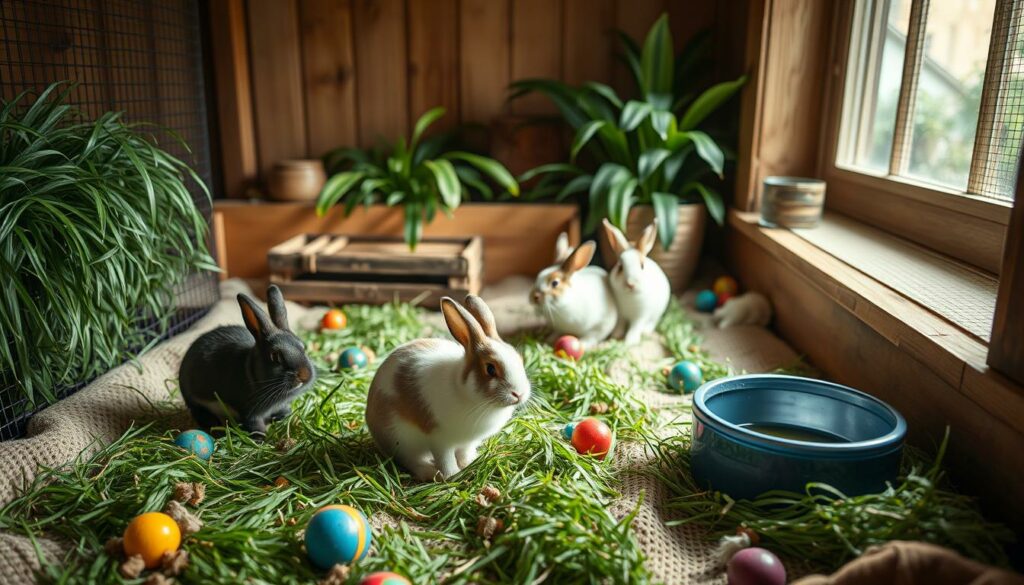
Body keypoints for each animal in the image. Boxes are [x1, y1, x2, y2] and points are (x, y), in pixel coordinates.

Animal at [178, 286, 315, 436]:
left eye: (303, 346)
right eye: (275, 356)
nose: (304, 375)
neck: (254, 375)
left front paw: (286, 415)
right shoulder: (250, 412)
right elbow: (254, 423)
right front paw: (261, 437)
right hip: (194, 400)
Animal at [366, 295, 528, 483]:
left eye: (519, 358)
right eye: (490, 369)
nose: (519, 394)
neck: (466, 394)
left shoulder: (468, 442)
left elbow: (465, 453)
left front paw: (470, 463)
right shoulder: (440, 440)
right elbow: (446, 460)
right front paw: (453, 475)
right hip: (400, 439)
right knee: (412, 460)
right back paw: (430, 473)